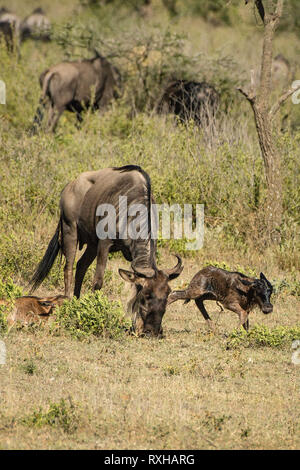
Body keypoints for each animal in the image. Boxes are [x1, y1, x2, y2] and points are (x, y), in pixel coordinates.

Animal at [30, 167, 183, 336]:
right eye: (147, 295)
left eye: (167, 295)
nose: (154, 331)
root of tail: (69, 187)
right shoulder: (104, 244)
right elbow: (98, 281)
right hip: (70, 231)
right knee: (68, 268)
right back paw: (69, 303)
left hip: (91, 244)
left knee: (81, 266)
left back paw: (77, 301)